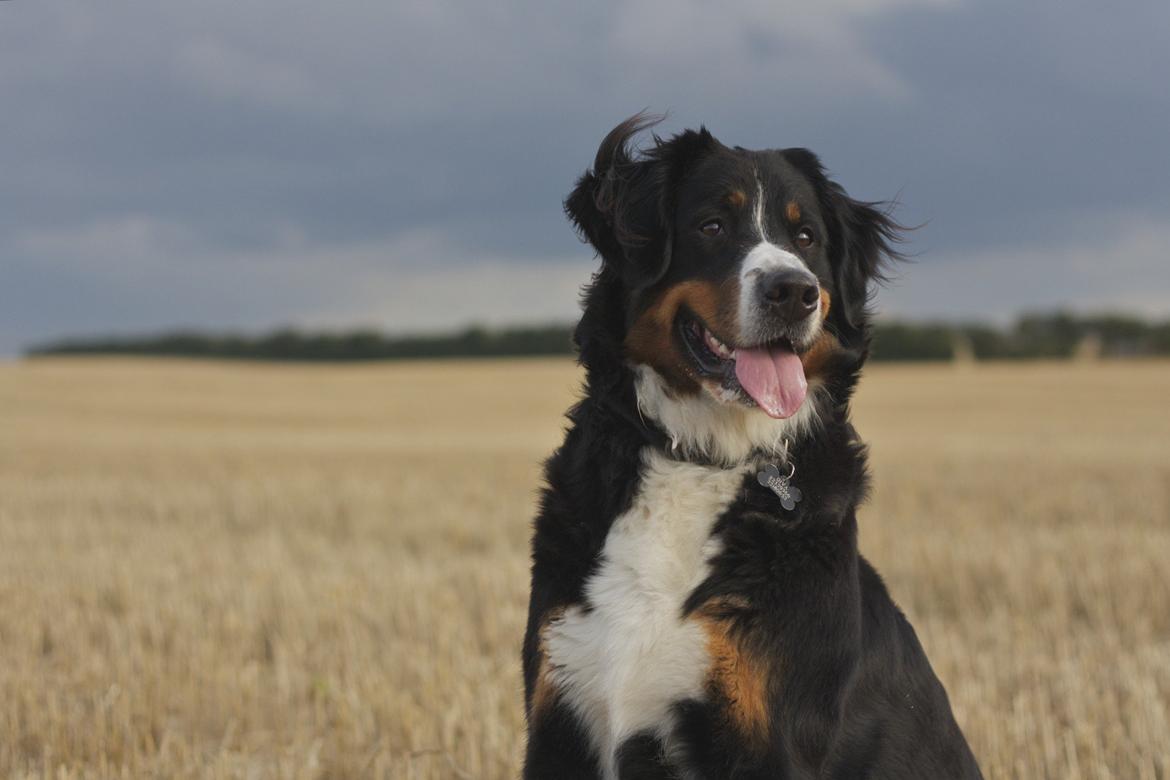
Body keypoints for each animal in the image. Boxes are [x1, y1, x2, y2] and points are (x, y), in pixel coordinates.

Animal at [521, 117, 978, 780]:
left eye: (806, 236)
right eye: (713, 225)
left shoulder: (766, 734)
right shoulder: (560, 715)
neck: (699, 460)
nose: (794, 291)